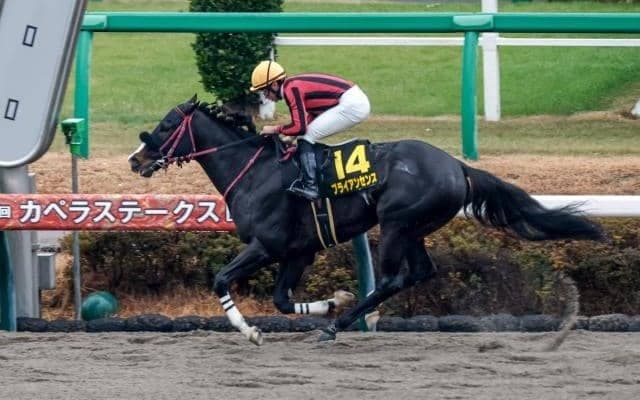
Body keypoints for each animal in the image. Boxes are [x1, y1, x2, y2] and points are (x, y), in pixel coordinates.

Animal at [128, 95, 605, 345]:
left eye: (167, 124)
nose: (136, 159)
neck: (255, 171)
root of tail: (456, 165)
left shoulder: (267, 246)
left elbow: (222, 280)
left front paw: (252, 331)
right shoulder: (298, 252)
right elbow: (281, 300)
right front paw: (333, 300)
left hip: (395, 224)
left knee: (393, 278)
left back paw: (338, 326)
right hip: (413, 228)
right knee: (418, 272)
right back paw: (344, 318)